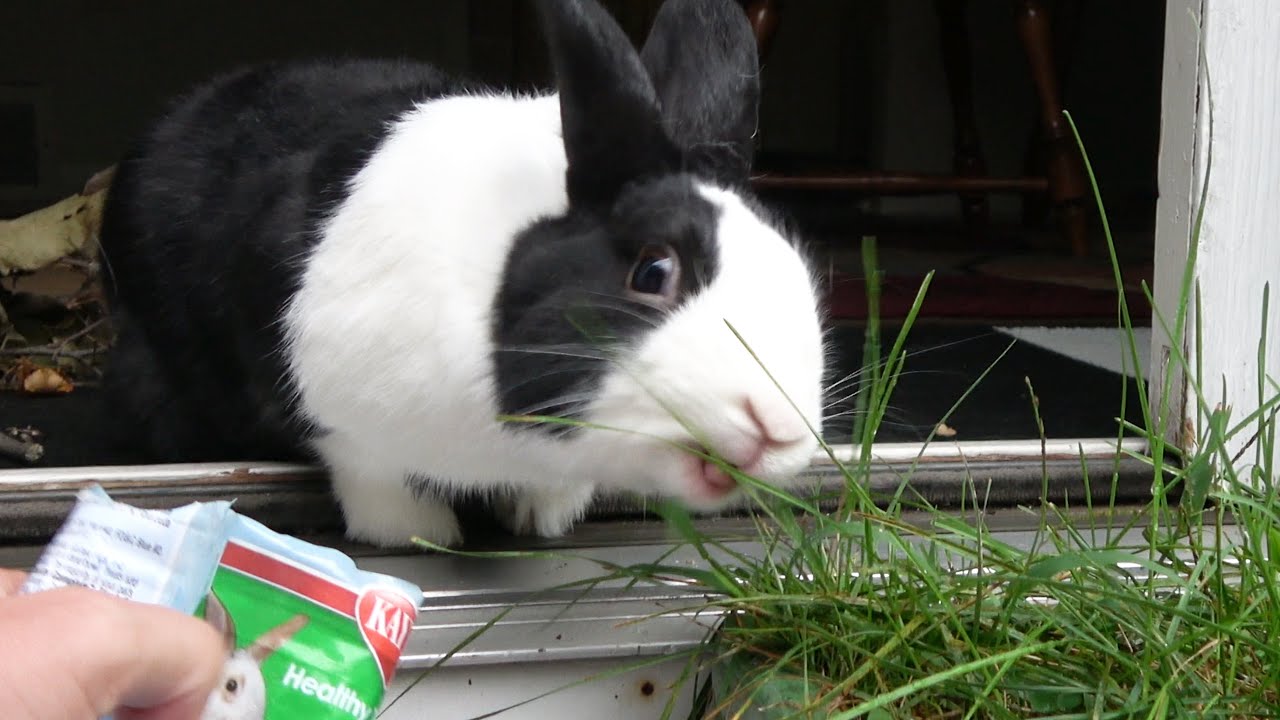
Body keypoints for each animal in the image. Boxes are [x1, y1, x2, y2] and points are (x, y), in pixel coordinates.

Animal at [96, 0, 828, 549]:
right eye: (653, 271)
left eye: (793, 261)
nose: (778, 427)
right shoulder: (348, 428)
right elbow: (375, 479)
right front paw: (418, 534)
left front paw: (540, 519)